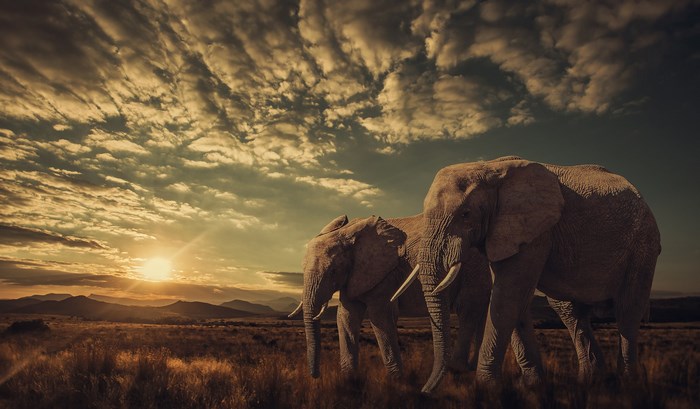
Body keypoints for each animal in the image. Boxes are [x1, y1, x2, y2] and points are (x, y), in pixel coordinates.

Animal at [290, 214, 492, 378]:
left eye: (333, 271)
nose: (315, 375)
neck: (349, 233)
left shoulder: (385, 274)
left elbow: (380, 316)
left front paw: (396, 381)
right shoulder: (354, 276)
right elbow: (346, 317)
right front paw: (348, 379)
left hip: (472, 268)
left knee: (467, 310)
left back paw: (459, 370)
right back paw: (471, 368)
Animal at [405, 156, 660, 393]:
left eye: (466, 214)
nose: (425, 392)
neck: (490, 167)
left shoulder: (535, 230)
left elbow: (508, 297)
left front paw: (486, 387)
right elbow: (516, 300)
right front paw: (532, 385)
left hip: (643, 245)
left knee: (628, 309)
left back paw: (627, 384)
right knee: (570, 312)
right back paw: (589, 381)